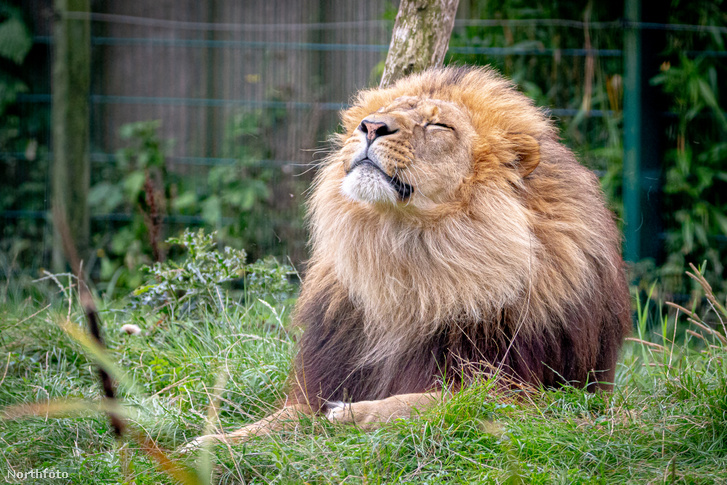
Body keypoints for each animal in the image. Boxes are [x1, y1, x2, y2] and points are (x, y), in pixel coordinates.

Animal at [185, 66, 636, 448]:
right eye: (379, 113)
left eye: (439, 125)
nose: (371, 126)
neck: (403, 258)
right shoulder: (324, 379)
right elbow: (283, 418)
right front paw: (208, 445)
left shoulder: (528, 394)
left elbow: (432, 403)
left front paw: (351, 414)